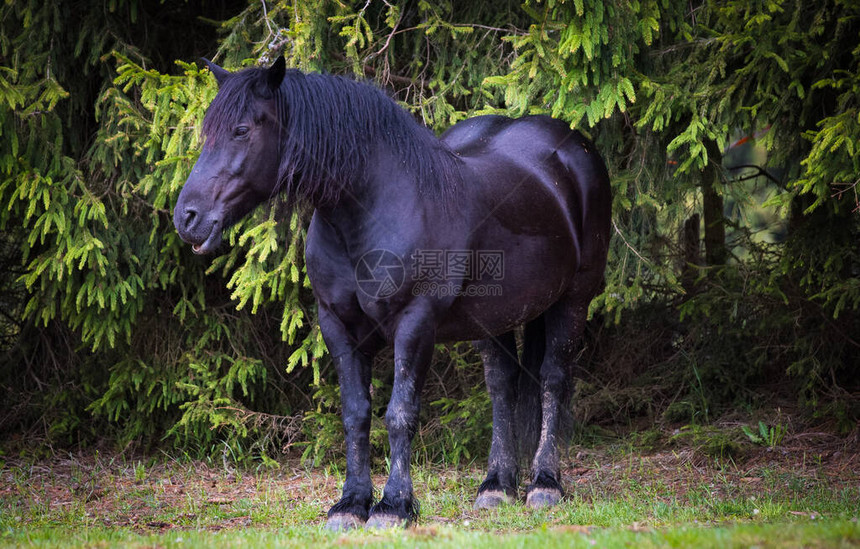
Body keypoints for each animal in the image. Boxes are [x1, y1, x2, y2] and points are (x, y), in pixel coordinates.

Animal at [173, 56, 612, 528]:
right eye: (207, 131)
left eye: (241, 130)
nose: (187, 217)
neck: (373, 210)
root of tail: (573, 148)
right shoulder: (337, 326)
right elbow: (356, 414)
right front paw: (350, 504)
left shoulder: (414, 323)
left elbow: (400, 413)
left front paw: (393, 506)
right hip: (494, 315)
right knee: (501, 385)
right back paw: (496, 486)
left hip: (574, 300)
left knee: (553, 379)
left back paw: (545, 484)